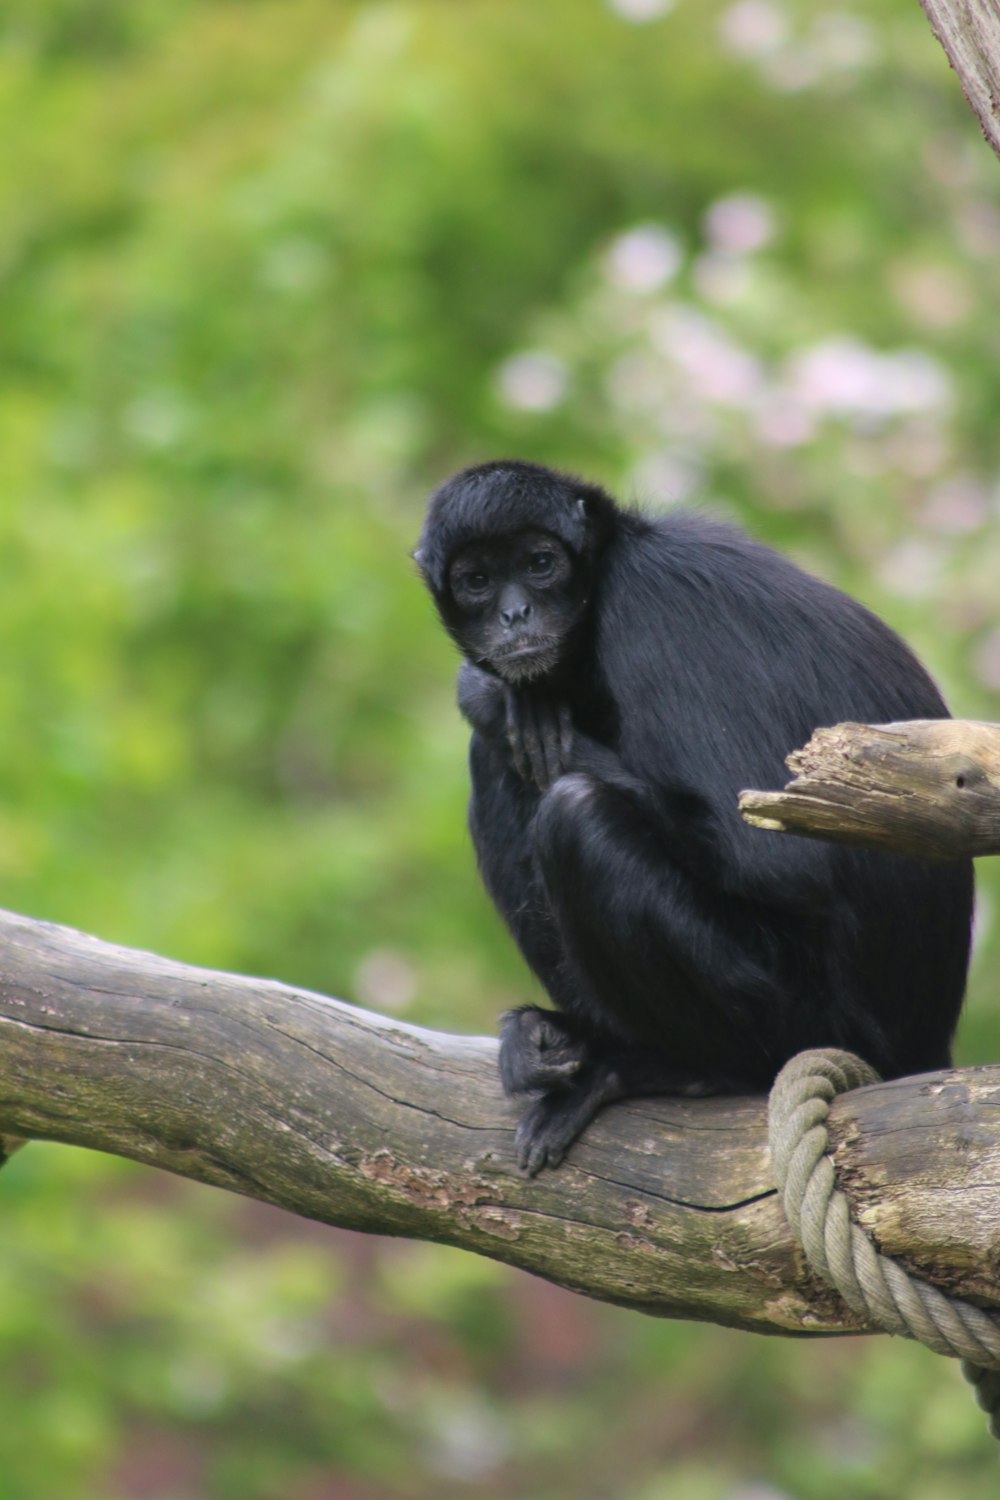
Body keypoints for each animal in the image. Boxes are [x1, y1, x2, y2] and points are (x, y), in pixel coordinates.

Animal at [416, 456, 977, 1170]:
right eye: (478, 581)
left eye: (541, 563)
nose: (515, 613)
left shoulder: (654, 609)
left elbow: (778, 861)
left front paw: (489, 695)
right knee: (501, 764)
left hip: (801, 1012)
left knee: (573, 810)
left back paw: (664, 1067)